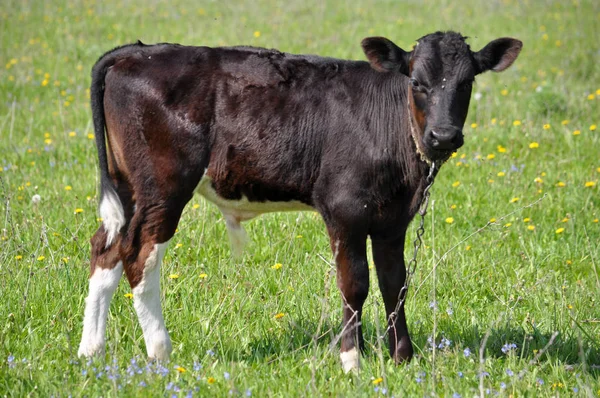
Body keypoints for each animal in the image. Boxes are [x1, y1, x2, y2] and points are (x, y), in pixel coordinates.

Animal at [78, 31, 520, 374]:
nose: (443, 136)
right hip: (163, 186)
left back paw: (90, 350)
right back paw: (159, 350)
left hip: (127, 185)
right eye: (416, 81)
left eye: (467, 82)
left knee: (106, 248)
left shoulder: (393, 220)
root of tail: (139, 51)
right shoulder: (344, 210)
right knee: (140, 255)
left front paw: (403, 360)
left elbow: (395, 284)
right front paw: (351, 361)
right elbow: (355, 284)